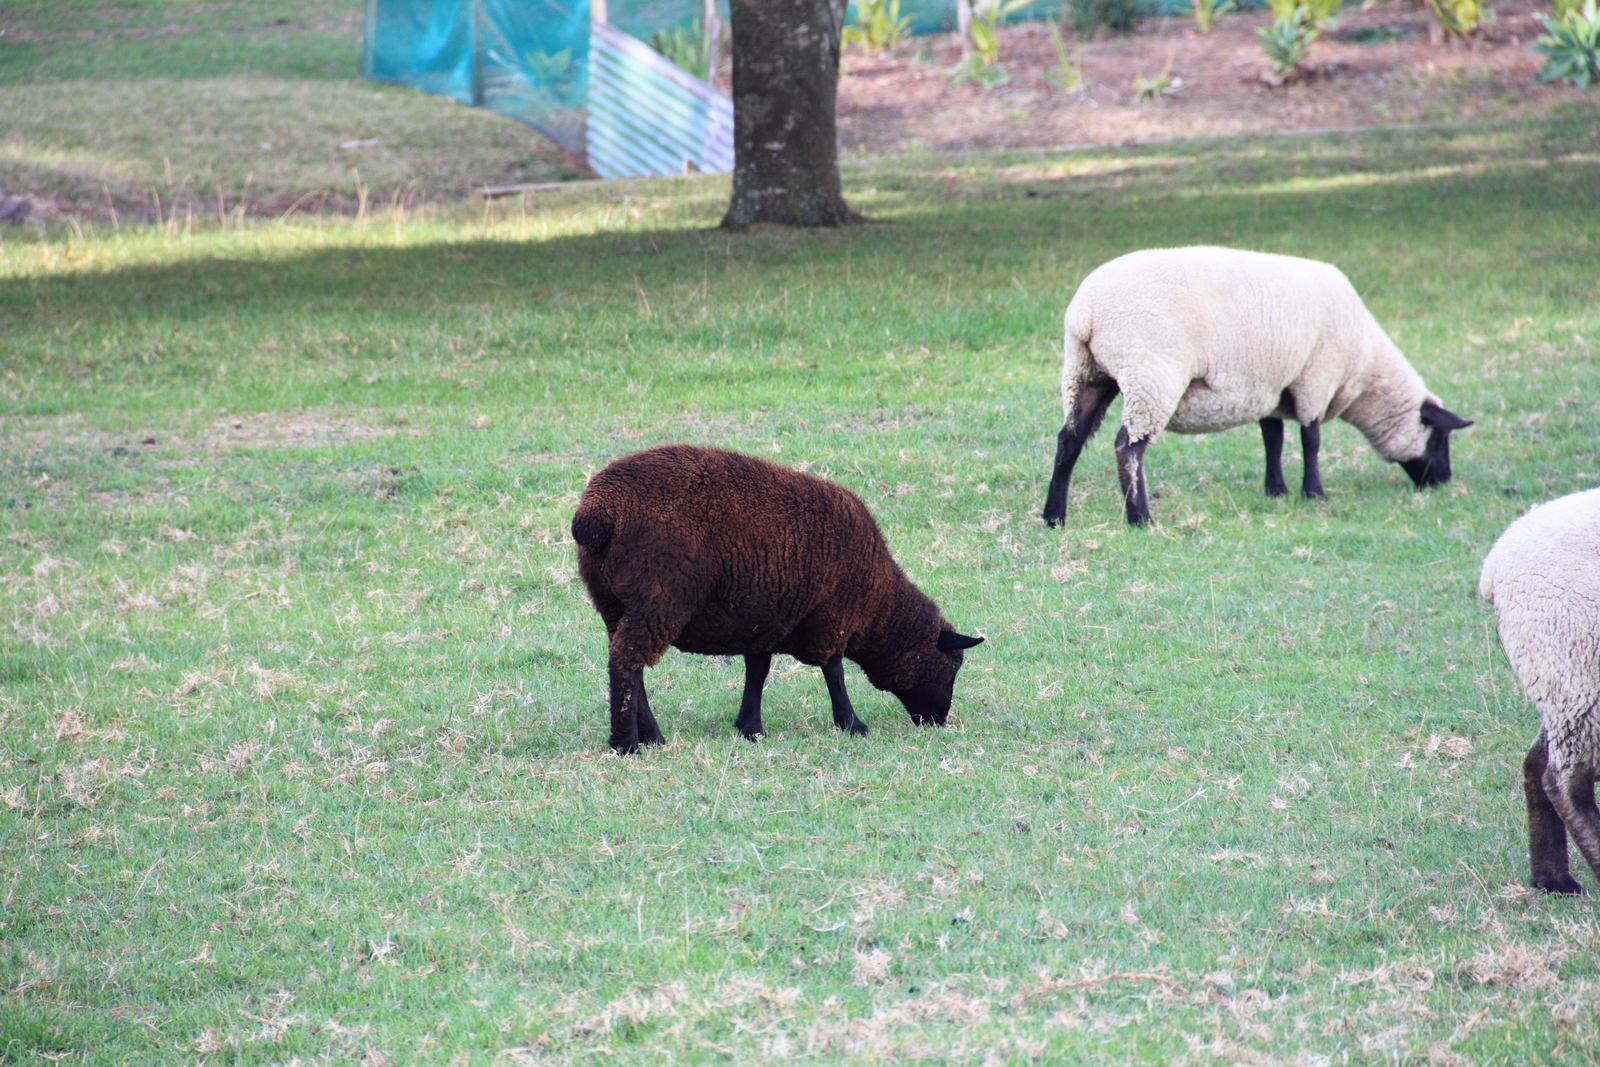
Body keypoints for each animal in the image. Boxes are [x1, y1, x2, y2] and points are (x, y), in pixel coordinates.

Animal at [571, 445, 984, 753]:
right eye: (954, 664)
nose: (938, 721)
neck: (877, 607)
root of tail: (597, 513)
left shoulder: (765, 620)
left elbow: (758, 671)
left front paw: (750, 727)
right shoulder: (831, 616)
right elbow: (833, 670)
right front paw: (852, 724)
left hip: (614, 602)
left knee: (627, 662)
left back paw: (652, 736)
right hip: (659, 595)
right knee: (627, 660)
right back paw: (627, 744)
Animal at [1041, 246, 1473, 527]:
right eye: (1440, 437)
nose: (1443, 482)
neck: (1364, 370)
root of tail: (1086, 314)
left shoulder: (1273, 387)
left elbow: (1273, 439)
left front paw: (1276, 490)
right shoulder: (1315, 377)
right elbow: (1311, 440)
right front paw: (1314, 493)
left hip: (1085, 372)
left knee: (1069, 441)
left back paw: (1053, 515)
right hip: (1150, 374)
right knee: (1127, 447)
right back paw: (1139, 518)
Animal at [1479, 488, 1600, 895]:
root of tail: (1496, 563)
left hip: (1558, 683)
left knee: (1536, 763)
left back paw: (1552, 879)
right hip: (1575, 673)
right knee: (1564, 782)